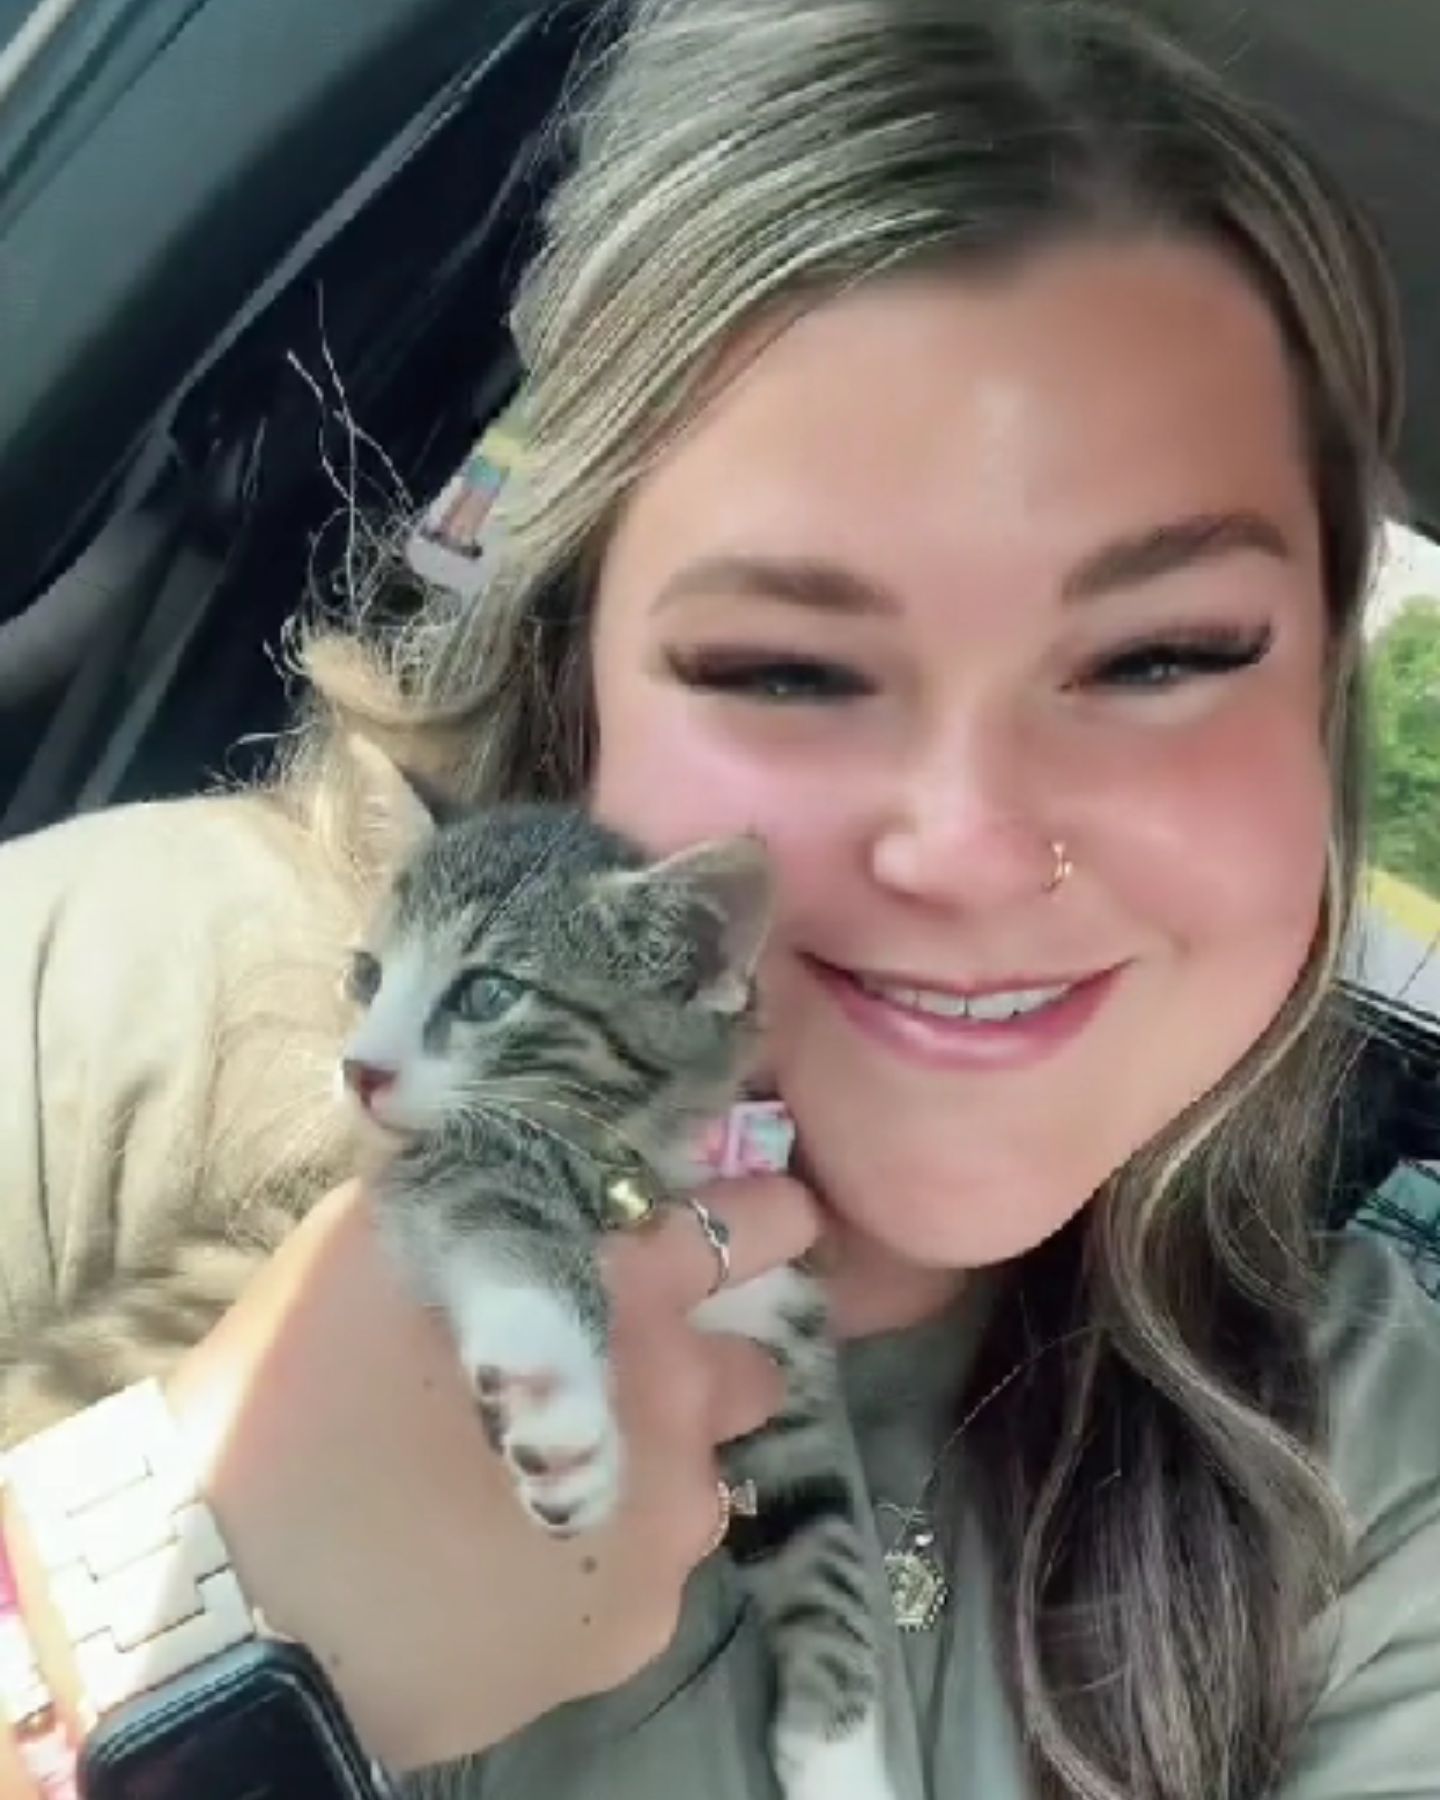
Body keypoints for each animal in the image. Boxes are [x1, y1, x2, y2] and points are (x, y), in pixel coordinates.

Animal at [343, 752, 892, 1792]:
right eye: (365, 975)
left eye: (486, 994)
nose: (360, 1069)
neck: (666, 1155)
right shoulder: (446, 1164)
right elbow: (498, 1211)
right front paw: (554, 1389)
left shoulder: (786, 1366)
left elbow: (824, 1537)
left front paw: (841, 1759)